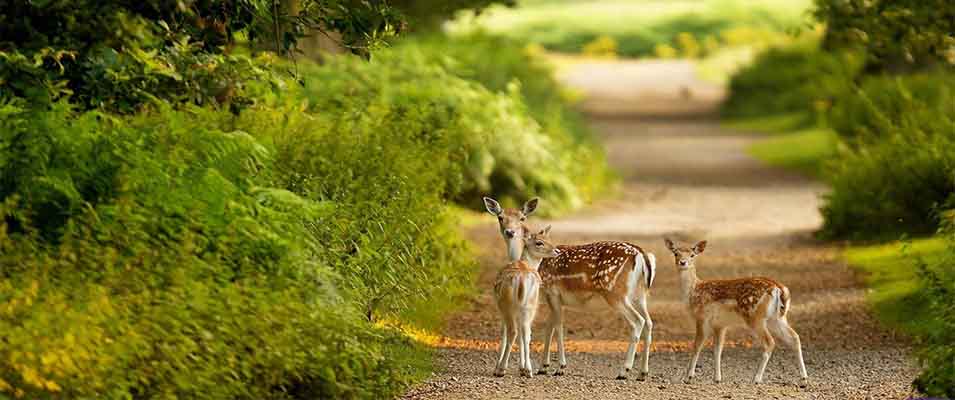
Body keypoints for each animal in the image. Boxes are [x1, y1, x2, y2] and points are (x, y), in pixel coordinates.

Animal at [492, 227, 560, 376]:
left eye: (548, 239)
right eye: (539, 242)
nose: (557, 250)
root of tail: (522, 280)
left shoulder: (501, 309)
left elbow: (503, 334)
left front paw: (497, 367)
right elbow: (523, 335)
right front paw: (522, 367)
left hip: (507, 304)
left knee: (513, 331)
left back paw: (502, 369)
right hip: (530, 305)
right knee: (526, 333)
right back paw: (528, 370)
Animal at [664, 239, 816, 386]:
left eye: (692, 255)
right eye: (676, 253)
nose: (682, 262)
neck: (693, 292)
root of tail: (779, 289)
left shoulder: (702, 317)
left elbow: (697, 346)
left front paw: (688, 377)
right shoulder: (720, 325)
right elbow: (717, 349)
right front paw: (717, 379)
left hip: (754, 317)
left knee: (770, 342)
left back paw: (756, 379)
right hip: (777, 318)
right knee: (795, 337)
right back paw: (804, 379)